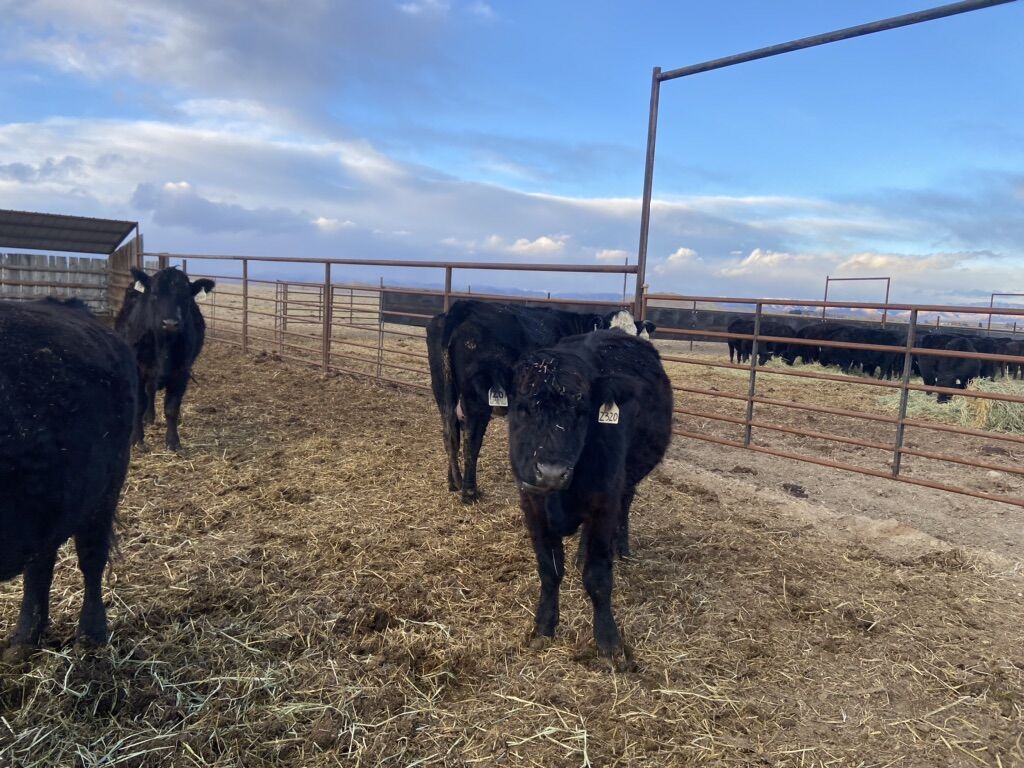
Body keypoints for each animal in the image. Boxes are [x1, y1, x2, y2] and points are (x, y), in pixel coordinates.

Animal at [115, 266, 215, 451]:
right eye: (154, 293)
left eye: (186, 296)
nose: (170, 323)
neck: (164, 345)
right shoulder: (139, 369)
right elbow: (140, 404)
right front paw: (137, 440)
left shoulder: (182, 372)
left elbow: (171, 408)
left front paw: (173, 442)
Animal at [426, 299, 638, 503]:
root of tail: (465, 306)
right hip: (476, 400)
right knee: (471, 440)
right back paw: (469, 493)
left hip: (444, 391)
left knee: (451, 434)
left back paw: (454, 482)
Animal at [507, 330, 672, 661]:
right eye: (522, 407)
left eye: (583, 412)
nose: (552, 472)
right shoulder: (531, 504)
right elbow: (549, 569)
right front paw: (543, 626)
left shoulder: (604, 503)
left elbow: (597, 578)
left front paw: (608, 642)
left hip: (627, 479)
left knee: (626, 506)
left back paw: (622, 548)